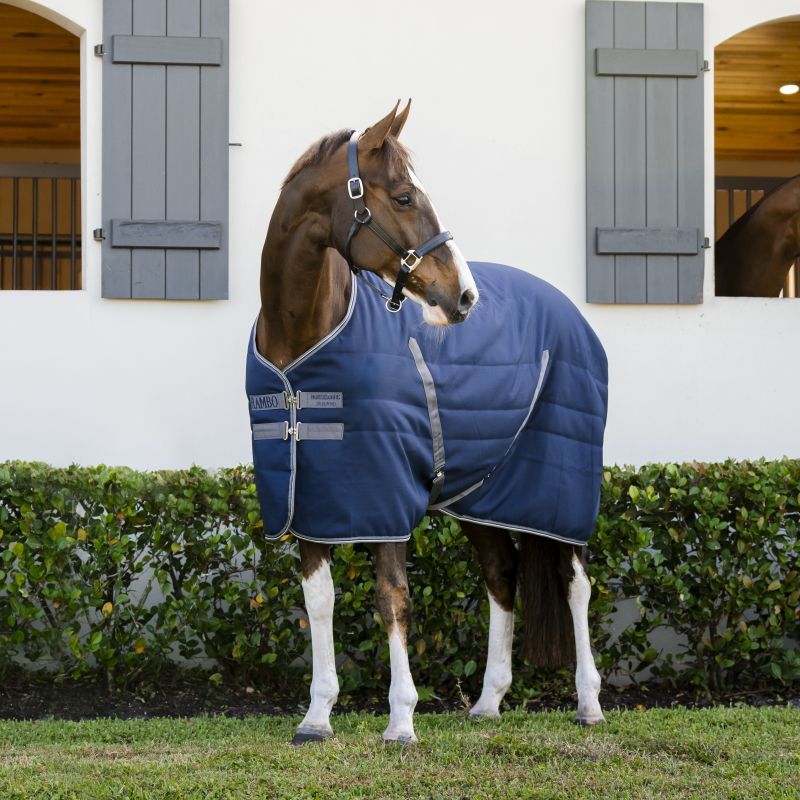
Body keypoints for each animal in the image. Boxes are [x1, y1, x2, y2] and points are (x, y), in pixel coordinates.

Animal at [248, 101, 608, 745]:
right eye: (404, 196)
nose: (464, 296)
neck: (302, 346)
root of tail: (571, 312)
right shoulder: (308, 495)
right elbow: (320, 601)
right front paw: (317, 716)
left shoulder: (384, 492)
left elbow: (393, 598)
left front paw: (401, 719)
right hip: (481, 494)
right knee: (502, 574)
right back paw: (488, 702)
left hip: (558, 493)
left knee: (576, 583)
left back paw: (589, 704)